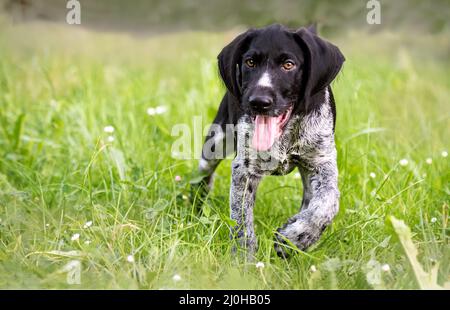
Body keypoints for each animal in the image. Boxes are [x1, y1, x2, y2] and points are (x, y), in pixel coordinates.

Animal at [191, 23, 344, 256]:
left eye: (288, 65)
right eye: (250, 62)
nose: (259, 102)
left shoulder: (321, 162)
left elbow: (327, 204)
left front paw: (295, 237)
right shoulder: (245, 168)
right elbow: (242, 220)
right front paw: (243, 258)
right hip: (215, 143)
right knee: (203, 177)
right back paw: (196, 208)